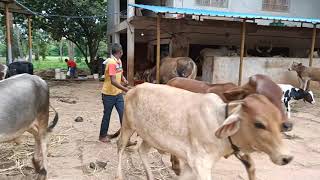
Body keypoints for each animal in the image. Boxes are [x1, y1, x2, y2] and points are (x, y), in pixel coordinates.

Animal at [116, 83, 294, 180]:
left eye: (278, 121)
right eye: (259, 124)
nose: (287, 157)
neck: (218, 120)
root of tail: (135, 88)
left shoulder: (192, 165)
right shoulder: (200, 163)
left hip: (151, 136)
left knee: (142, 150)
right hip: (127, 126)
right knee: (120, 146)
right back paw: (119, 175)